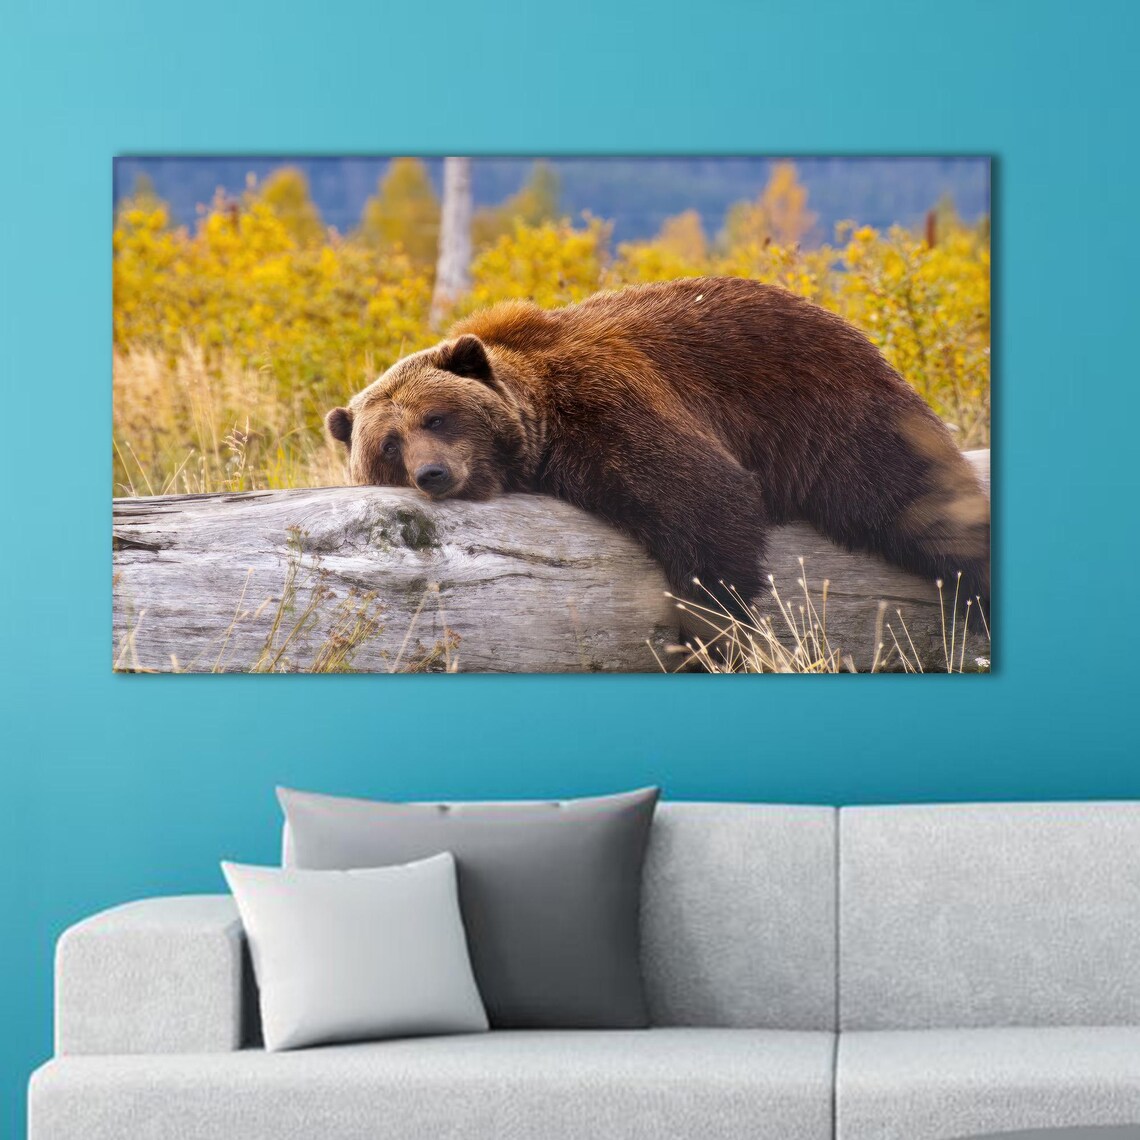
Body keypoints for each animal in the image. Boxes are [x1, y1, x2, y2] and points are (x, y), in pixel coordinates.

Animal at [325, 276, 990, 618]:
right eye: (389, 445)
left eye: (436, 417)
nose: (433, 474)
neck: (545, 423)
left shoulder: (608, 403)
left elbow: (704, 498)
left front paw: (712, 623)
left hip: (835, 418)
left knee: (920, 503)